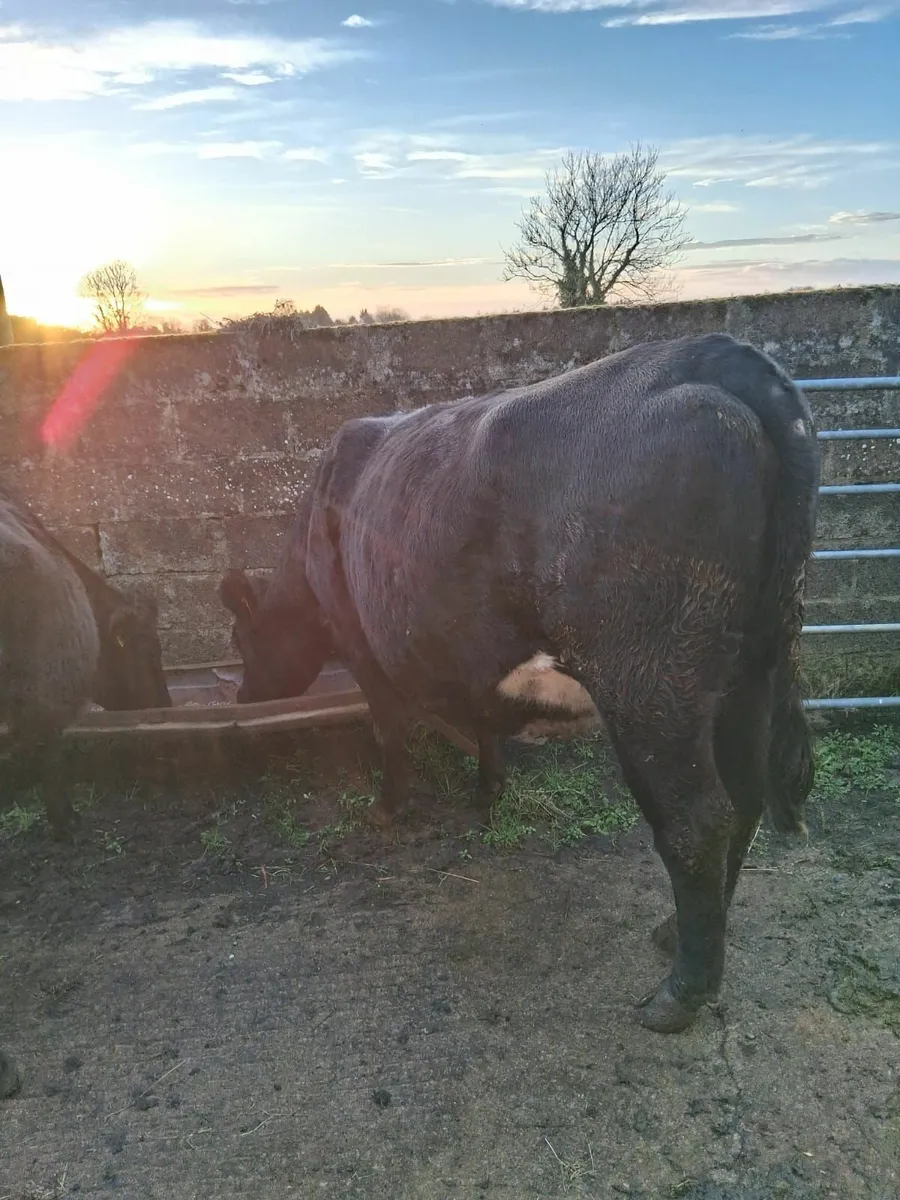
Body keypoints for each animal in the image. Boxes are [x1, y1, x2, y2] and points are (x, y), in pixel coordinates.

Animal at [220, 332, 820, 1034]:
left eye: (241, 639)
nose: (242, 695)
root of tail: (711, 352)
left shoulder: (363, 647)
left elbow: (390, 730)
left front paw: (386, 808)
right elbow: (481, 718)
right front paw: (489, 788)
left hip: (652, 686)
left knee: (698, 821)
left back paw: (678, 994)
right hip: (751, 671)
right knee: (747, 796)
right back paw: (678, 934)